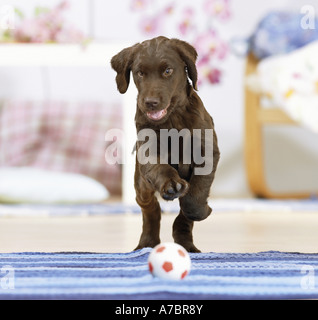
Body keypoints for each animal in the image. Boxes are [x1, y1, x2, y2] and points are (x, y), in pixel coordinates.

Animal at [111, 37, 219, 252]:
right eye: (140, 73)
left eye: (168, 71)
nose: (150, 102)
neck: (173, 119)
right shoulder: (148, 151)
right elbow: (160, 168)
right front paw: (171, 185)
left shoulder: (208, 152)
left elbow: (194, 198)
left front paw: (202, 210)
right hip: (141, 184)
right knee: (149, 208)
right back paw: (147, 243)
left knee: (184, 215)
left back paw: (187, 244)